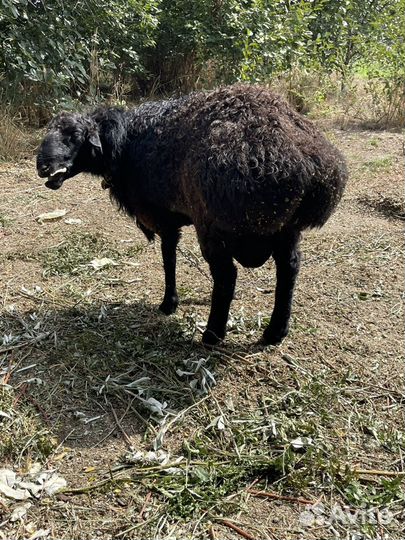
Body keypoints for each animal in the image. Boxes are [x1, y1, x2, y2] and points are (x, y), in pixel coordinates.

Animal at [36, 84, 348, 346]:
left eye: (75, 136)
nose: (42, 166)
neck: (124, 145)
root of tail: (304, 163)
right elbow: (171, 255)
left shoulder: (161, 216)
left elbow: (168, 258)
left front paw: (168, 303)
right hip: (286, 227)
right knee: (290, 267)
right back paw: (275, 332)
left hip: (213, 225)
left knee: (226, 276)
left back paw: (212, 335)